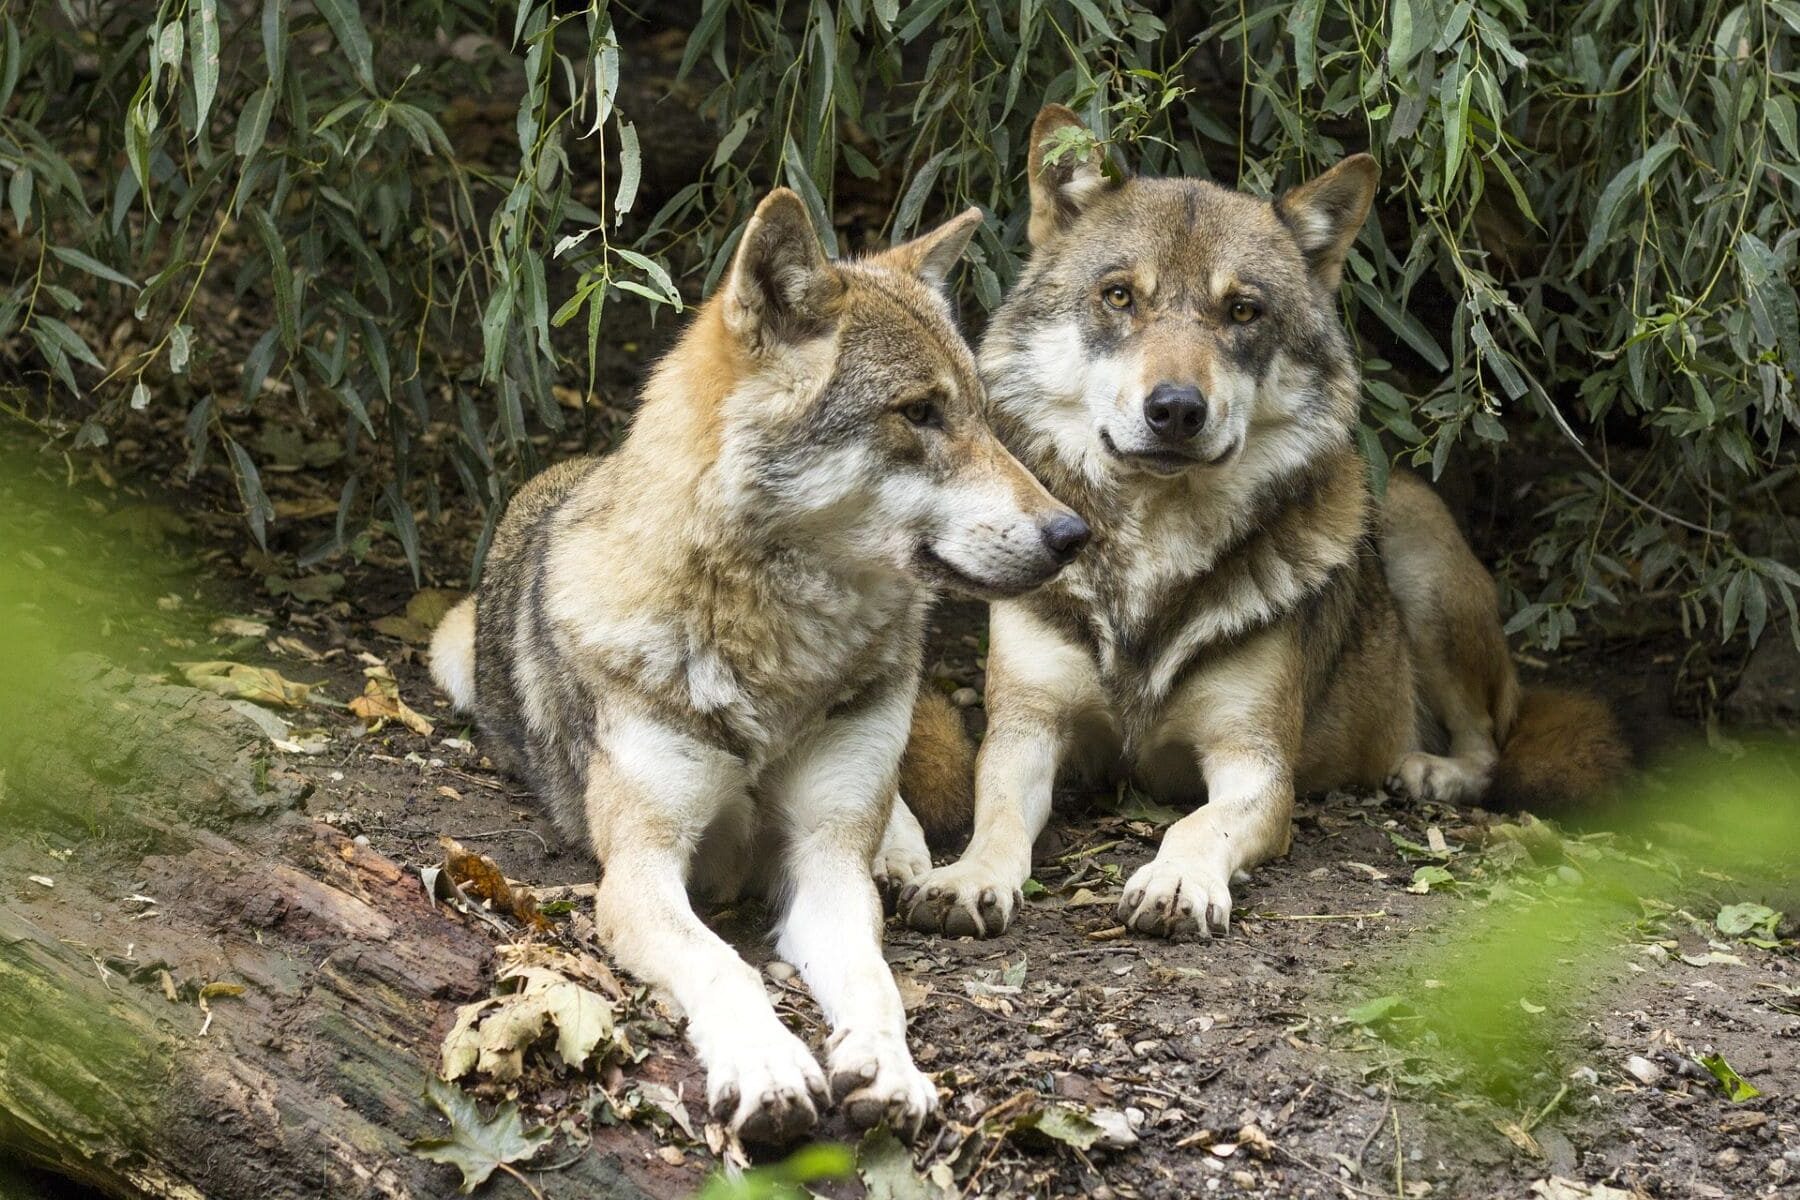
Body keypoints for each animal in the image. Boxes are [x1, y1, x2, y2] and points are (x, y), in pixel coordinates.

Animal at [429, 189, 1087, 1141]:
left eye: (978, 412)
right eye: (919, 413)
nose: (1074, 534)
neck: (778, 661)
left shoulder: (823, 862)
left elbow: (874, 982)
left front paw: (890, 1069)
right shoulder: (640, 871)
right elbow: (722, 966)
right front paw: (769, 1065)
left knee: (892, 816)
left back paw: (903, 855)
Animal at [896, 104, 1626, 941]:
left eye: (1242, 311)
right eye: (1119, 297)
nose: (1176, 409)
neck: (1152, 550)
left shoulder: (1256, 763)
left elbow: (1195, 824)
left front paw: (1176, 881)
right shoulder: (1025, 732)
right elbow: (996, 820)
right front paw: (965, 880)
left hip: (1420, 560)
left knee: (1490, 744)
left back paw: (1428, 771)